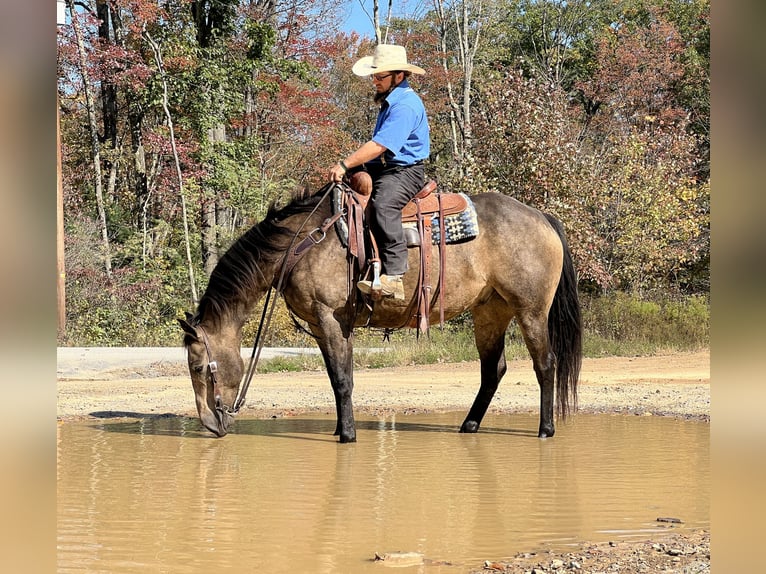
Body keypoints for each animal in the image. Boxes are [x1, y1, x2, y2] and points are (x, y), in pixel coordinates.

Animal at [180, 182, 584, 444]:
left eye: (198, 367)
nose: (210, 425)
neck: (300, 244)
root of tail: (542, 217)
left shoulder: (332, 320)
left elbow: (344, 380)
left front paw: (347, 435)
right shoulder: (321, 326)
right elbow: (335, 378)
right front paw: (341, 427)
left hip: (531, 311)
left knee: (545, 363)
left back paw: (545, 430)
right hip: (490, 312)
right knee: (493, 370)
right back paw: (469, 426)